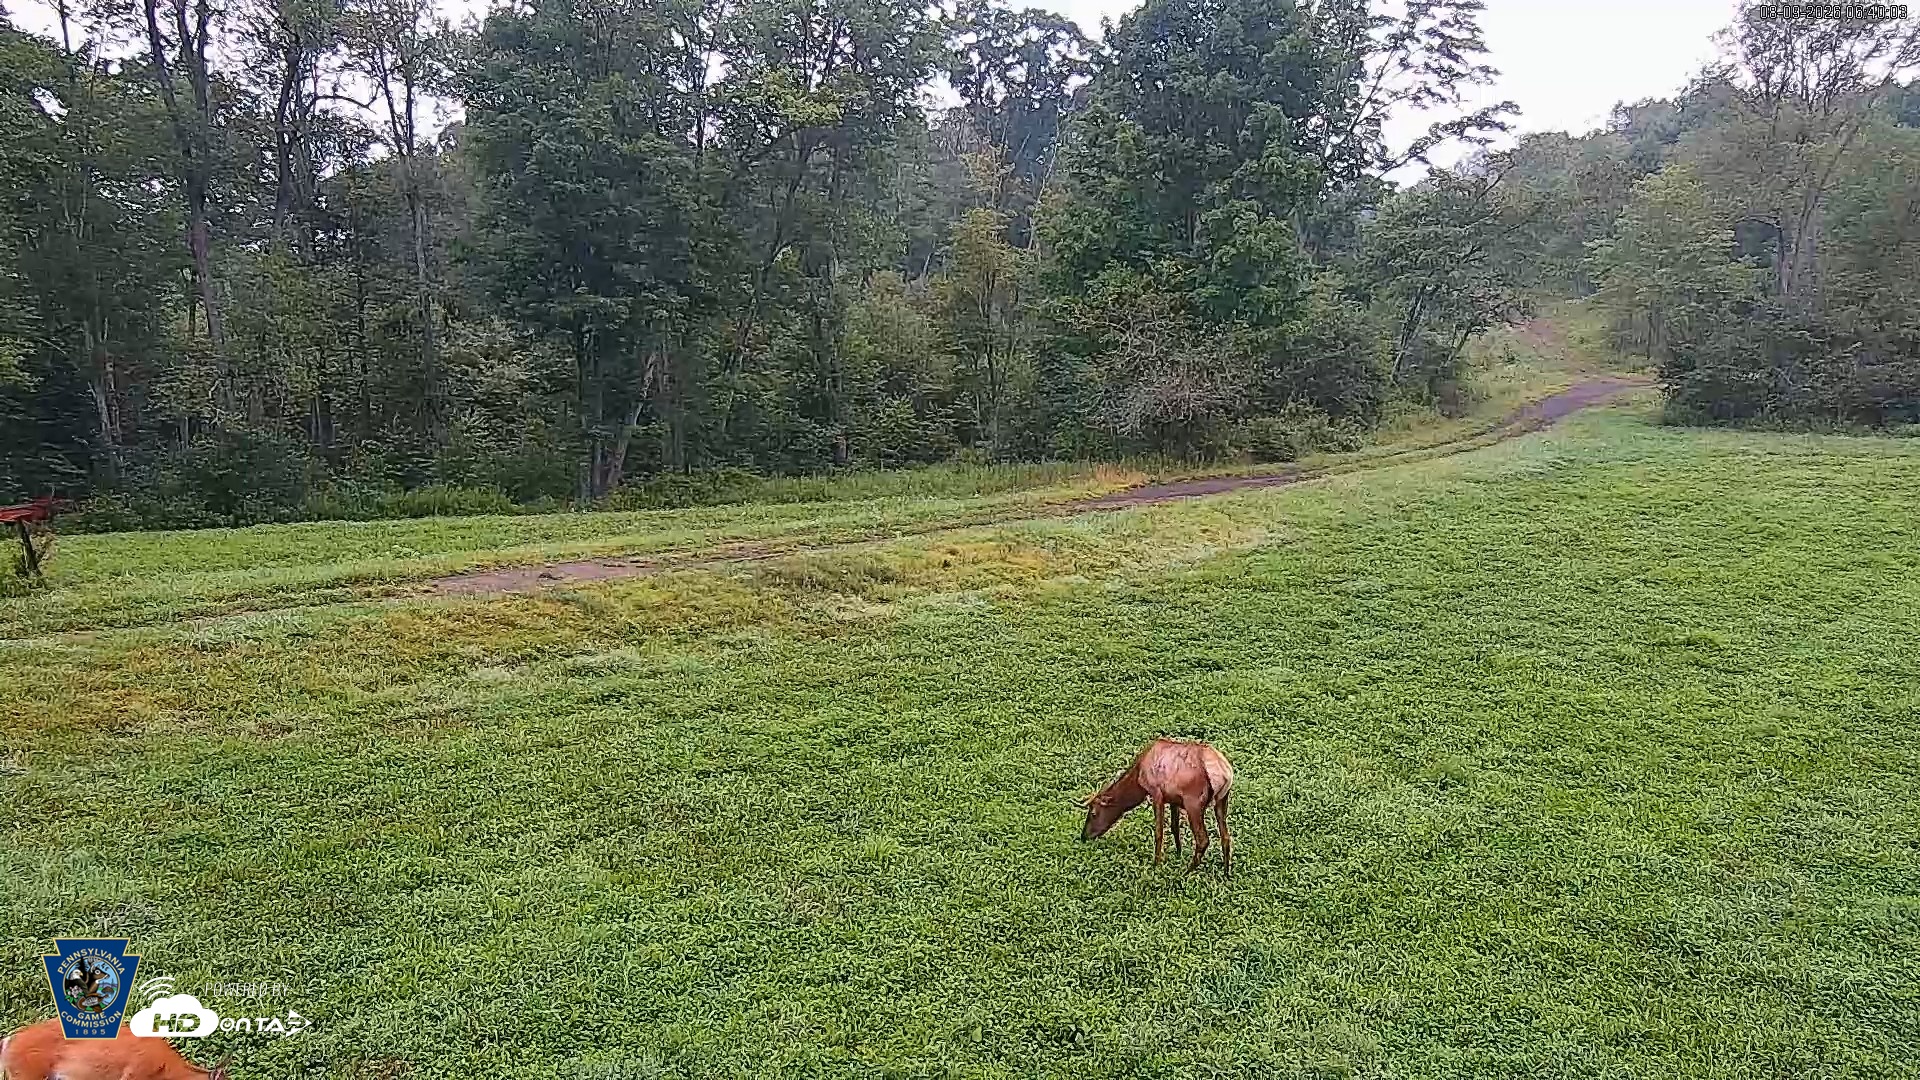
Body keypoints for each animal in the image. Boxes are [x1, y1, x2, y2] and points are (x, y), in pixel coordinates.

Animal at [1079, 738, 1234, 875]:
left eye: (1093, 813)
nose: (1084, 836)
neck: (1138, 777)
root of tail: (1225, 774)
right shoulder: (1173, 799)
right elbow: (1174, 827)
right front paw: (1178, 854)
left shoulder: (1157, 794)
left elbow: (1159, 832)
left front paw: (1157, 864)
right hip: (1222, 800)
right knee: (1226, 837)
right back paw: (1226, 873)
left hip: (1193, 803)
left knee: (1203, 840)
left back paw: (1185, 873)